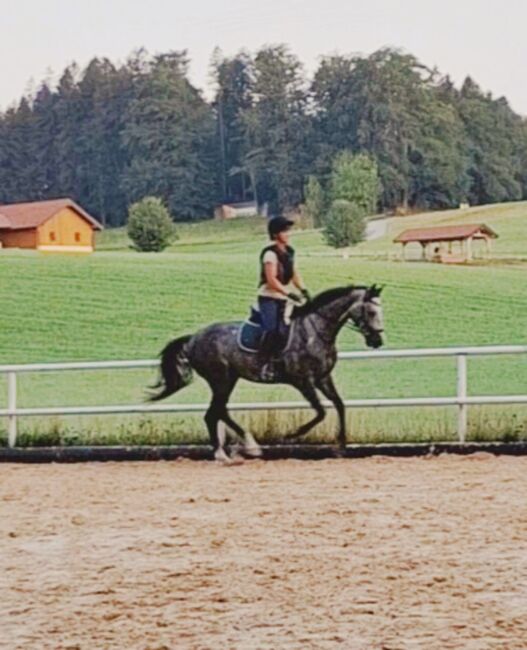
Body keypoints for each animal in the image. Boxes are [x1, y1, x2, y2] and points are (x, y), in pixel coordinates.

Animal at [151, 284, 386, 460]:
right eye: (371, 312)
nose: (377, 341)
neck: (316, 330)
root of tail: (193, 338)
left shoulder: (323, 378)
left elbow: (339, 405)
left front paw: (341, 447)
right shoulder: (303, 381)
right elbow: (320, 411)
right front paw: (291, 435)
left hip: (228, 379)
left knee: (218, 411)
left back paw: (246, 447)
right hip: (221, 379)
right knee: (213, 413)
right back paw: (226, 453)